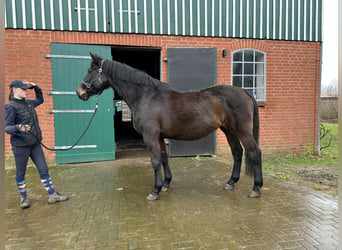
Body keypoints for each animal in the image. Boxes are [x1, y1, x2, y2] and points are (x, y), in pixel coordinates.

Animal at [77, 53, 264, 201]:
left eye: (91, 70)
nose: (80, 92)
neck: (145, 96)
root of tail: (244, 91)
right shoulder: (159, 136)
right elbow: (163, 158)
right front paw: (166, 184)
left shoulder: (150, 136)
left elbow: (155, 161)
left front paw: (155, 190)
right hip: (229, 130)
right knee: (237, 152)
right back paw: (231, 182)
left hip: (242, 131)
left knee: (254, 152)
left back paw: (256, 188)